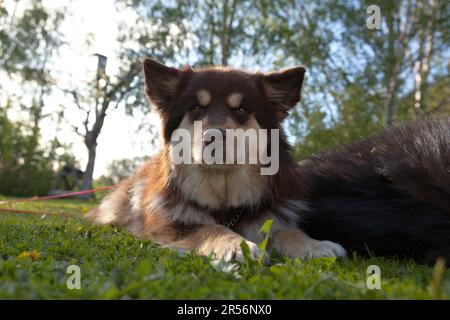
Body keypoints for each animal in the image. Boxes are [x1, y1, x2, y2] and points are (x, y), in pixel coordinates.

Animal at [89, 58, 450, 264]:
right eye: (196, 107)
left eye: (241, 109)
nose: (214, 137)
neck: (226, 198)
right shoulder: (171, 224)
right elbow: (208, 228)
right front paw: (235, 245)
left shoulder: (271, 216)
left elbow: (286, 232)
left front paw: (313, 244)